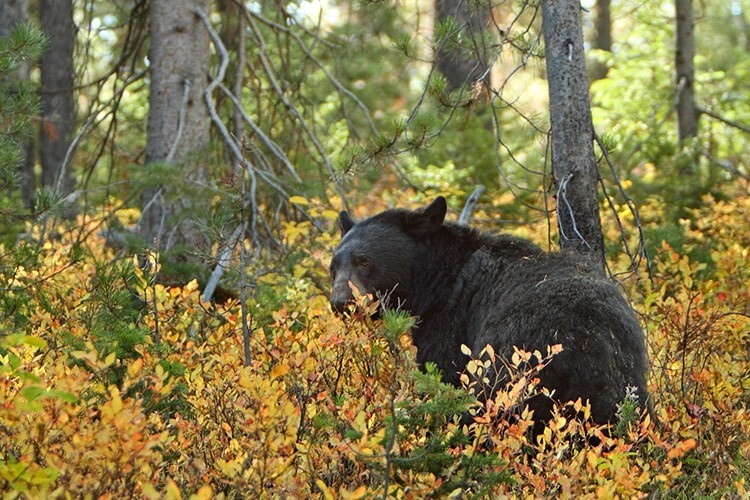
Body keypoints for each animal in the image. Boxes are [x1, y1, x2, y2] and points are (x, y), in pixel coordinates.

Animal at [330, 197, 652, 428]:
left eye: (364, 261)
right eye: (334, 265)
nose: (340, 301)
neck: (437, 280)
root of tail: (588, 342)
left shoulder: (451, 323)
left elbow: (442, 374)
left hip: (510, 367)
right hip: (628, 384)